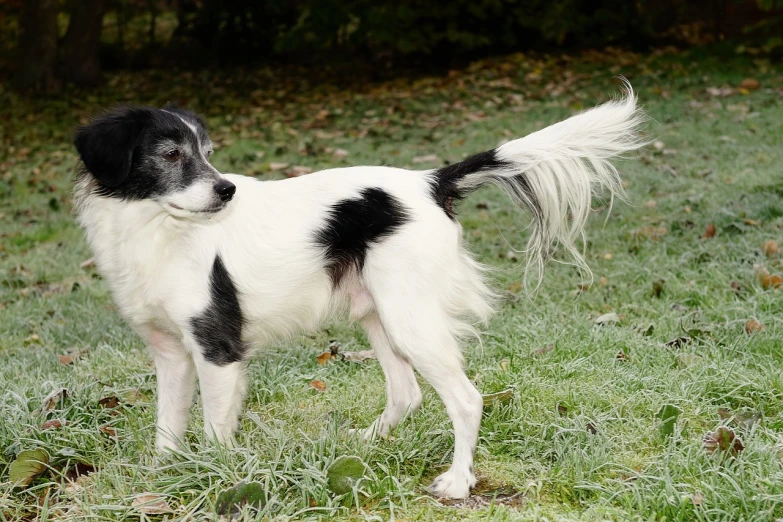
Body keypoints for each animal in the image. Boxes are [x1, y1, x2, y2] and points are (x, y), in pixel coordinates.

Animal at [73, 83, 648, 498]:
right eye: (171, 154)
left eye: (206, 154)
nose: (226, 190)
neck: (158, 229)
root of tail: (430, 182)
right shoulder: (171, 354)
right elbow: (167, 429)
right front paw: (164, 477)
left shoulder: (217, 348)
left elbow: (215, 428)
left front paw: (213, 479)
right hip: (379, 315)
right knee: (406, 393)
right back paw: (365, 447)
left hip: (408, 319)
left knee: (466, 399)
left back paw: (458, 482)